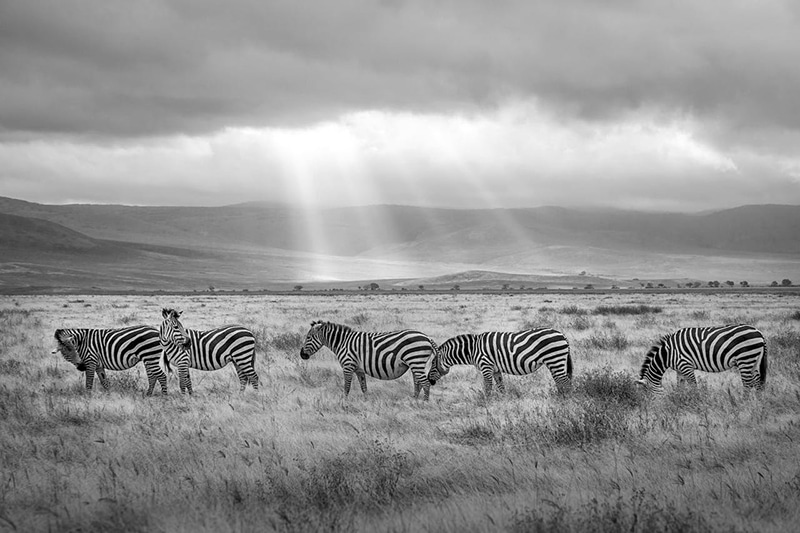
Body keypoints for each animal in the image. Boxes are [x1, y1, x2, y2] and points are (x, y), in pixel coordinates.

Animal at [300, 320, 438, 400]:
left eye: (308, 337)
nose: (302, 355)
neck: (342, 342)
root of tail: (427, 337)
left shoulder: (348, 365)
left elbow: (347, 387)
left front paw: (344, 402)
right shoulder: (359, 369)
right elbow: (363, 387)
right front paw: (366, 402)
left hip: (416, 361)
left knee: (425, 383)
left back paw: (423, 404)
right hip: (415, 364)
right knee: (418, 383)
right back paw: (414, 400)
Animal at [428, 326, 572, 396]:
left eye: (433, 364)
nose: (430, 380)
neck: (473, 349)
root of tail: (562, 334)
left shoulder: (486, 366)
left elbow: (488, 386)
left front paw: (486, 402)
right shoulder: (495, 369)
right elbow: (500, 386)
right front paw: (503, 402)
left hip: (555, 359)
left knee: (565, 382)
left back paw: (565, 402)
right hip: (555, 362)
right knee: (560, 381)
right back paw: (559, 398)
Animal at [636, 322, 768, 392]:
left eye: (646, 394)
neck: (668, 353)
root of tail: (759, 332)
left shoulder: (686, 365)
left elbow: (694, 386)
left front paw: (695, 402)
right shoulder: (679, 370)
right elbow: (680, 387)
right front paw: (678, 401)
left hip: (745, 359)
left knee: (748, 384)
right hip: (755, 360)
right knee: (758, 383)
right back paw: (758, 404)